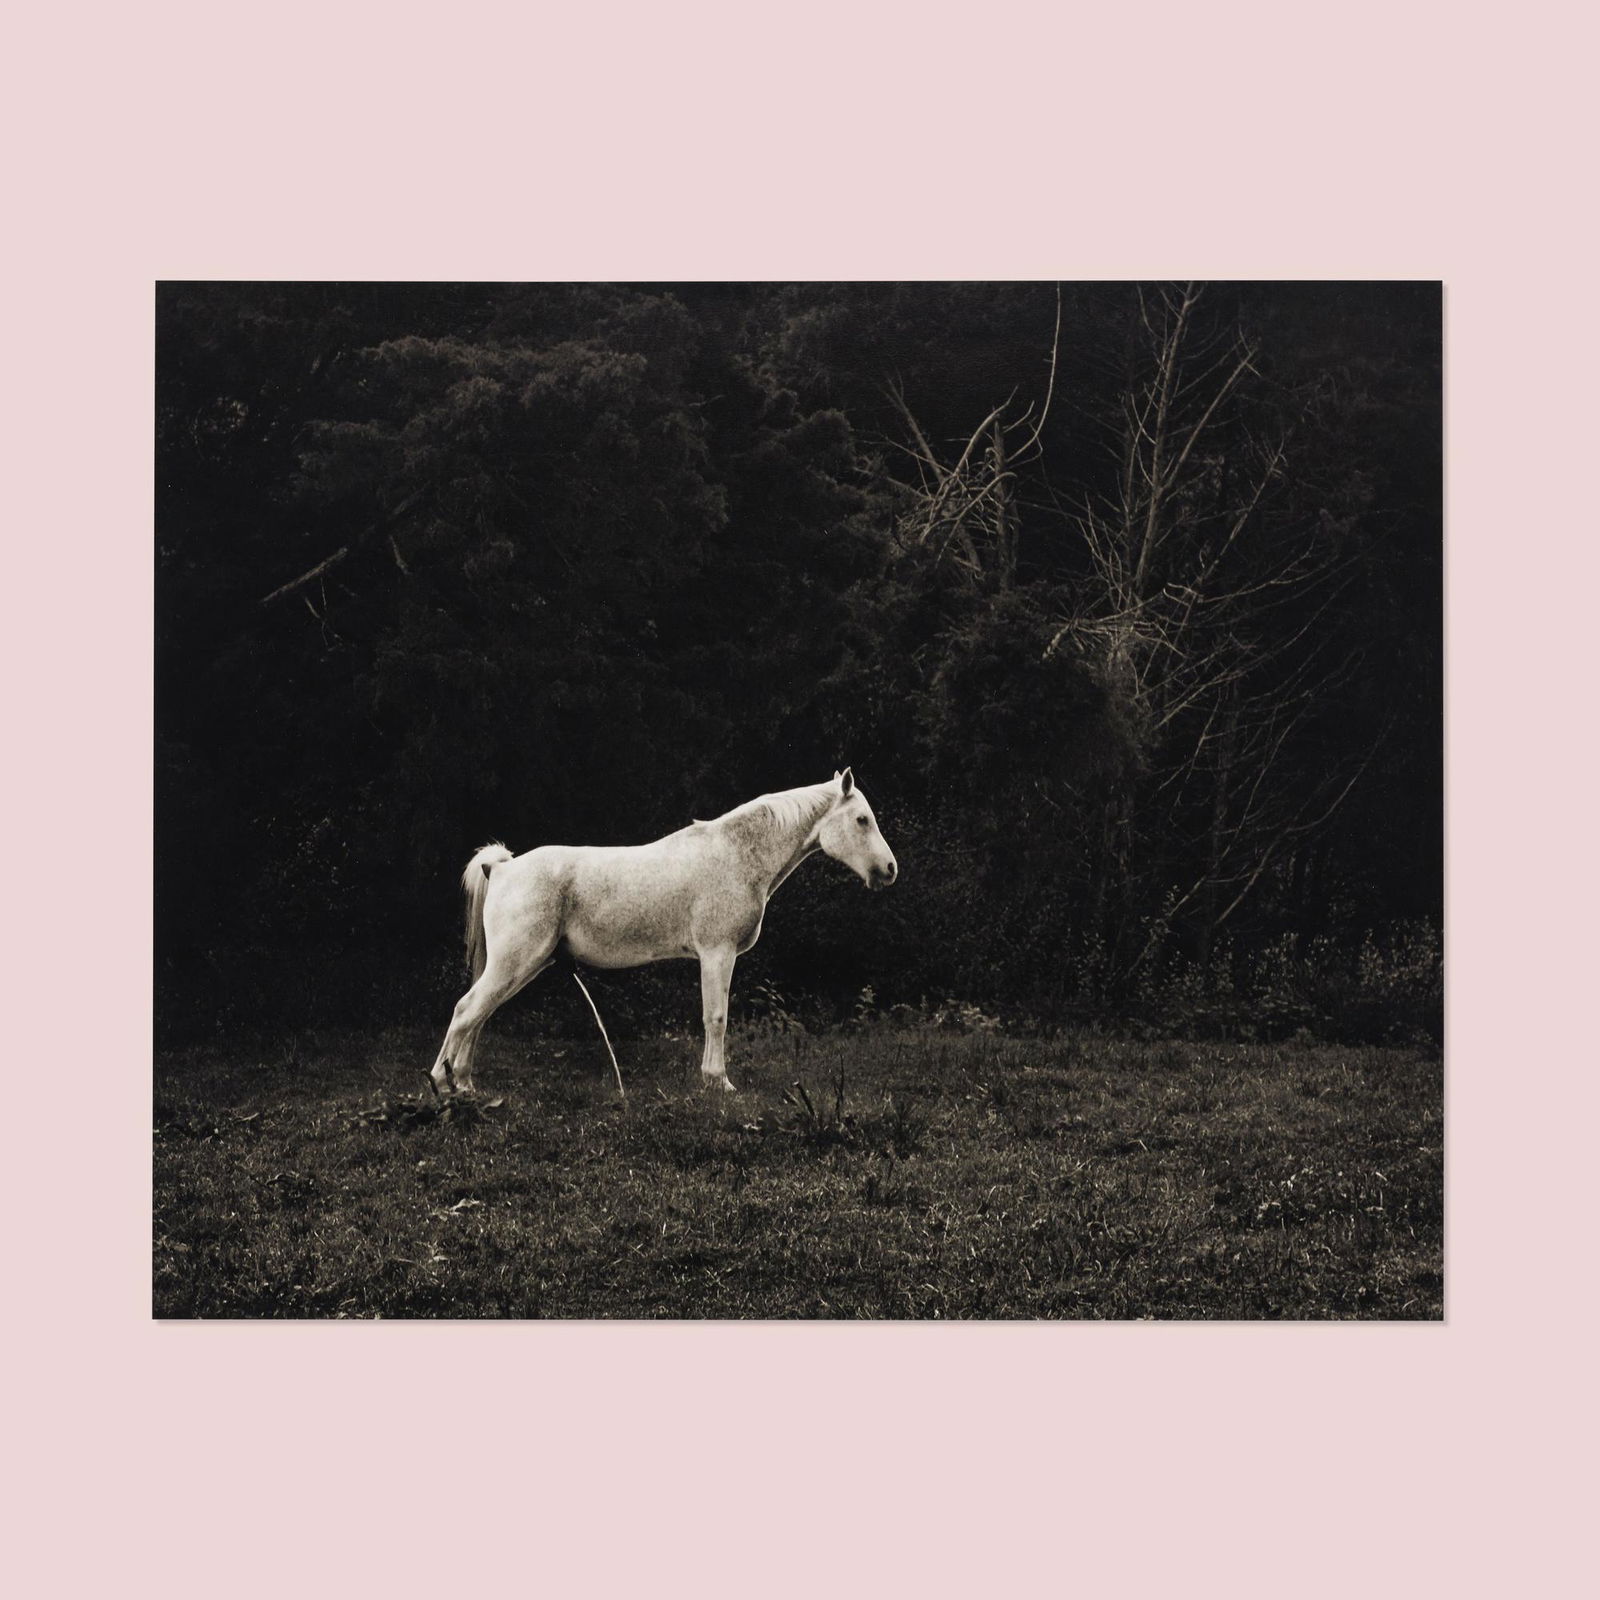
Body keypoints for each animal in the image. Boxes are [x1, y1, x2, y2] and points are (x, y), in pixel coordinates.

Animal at [429, 768, 897, 1096]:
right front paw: (719, 1082)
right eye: (861, 820)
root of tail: (502, 868)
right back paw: (441, 1083)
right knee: (467, 1010)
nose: (889, 869)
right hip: (515, 961)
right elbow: (716, 1017)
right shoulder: (717, 953)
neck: (736, 855)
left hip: (523, 965)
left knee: (480, 1014)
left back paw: (464, 1083)